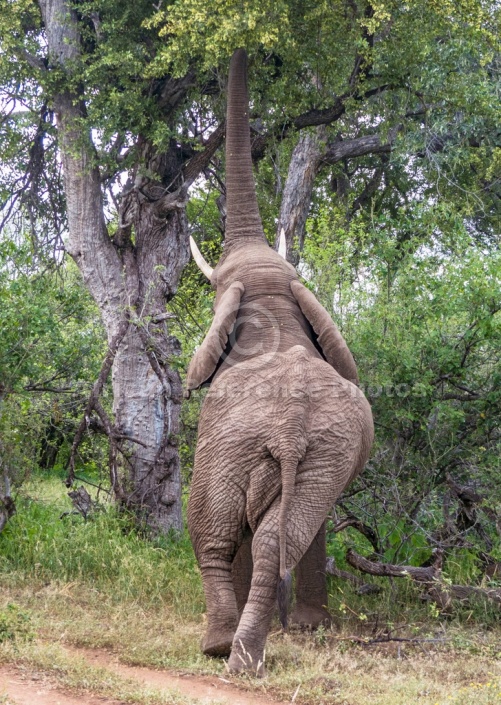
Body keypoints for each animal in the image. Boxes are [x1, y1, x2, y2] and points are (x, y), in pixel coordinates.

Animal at [185, 46, 372, 672]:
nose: (239, 44)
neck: (273, 309)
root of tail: (290, 427)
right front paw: (310, 628)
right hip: (322, 455)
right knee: (281, 535)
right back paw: (249, 652)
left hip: (228, 448)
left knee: (214, 532)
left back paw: (221, 646)